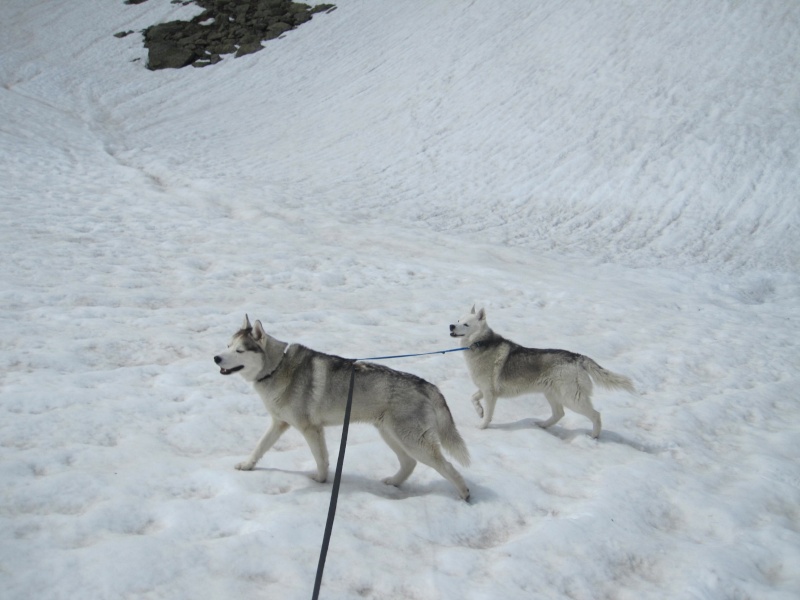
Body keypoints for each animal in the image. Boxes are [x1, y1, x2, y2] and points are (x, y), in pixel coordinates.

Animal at [216, 316, 472, 500]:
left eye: (239, 350)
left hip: (412, 440)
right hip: (390, 435)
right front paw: (247, 465)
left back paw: (464, 494)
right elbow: (259, 447)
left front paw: (320, 481)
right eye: (227, 345)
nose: (216, 358)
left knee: (447, 466)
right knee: (409, 463)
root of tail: (426, 384)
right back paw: (394, 482)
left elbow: (321, 459)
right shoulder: (280, 423)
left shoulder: (311, 429)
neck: (277, 367)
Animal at [446, 308, 636, 438]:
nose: (451, 325)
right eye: (458, 319)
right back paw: (542, 425)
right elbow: (473, 398)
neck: (480, 344)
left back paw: (594, 436)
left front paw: (481, 427)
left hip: (572, 398)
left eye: (466, 324)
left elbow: (488, 415)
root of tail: (577, 357)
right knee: (559, 414)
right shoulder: (484, 390)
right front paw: (479, 411)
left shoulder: (490, 394)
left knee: (596, 415)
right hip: (551, 394)